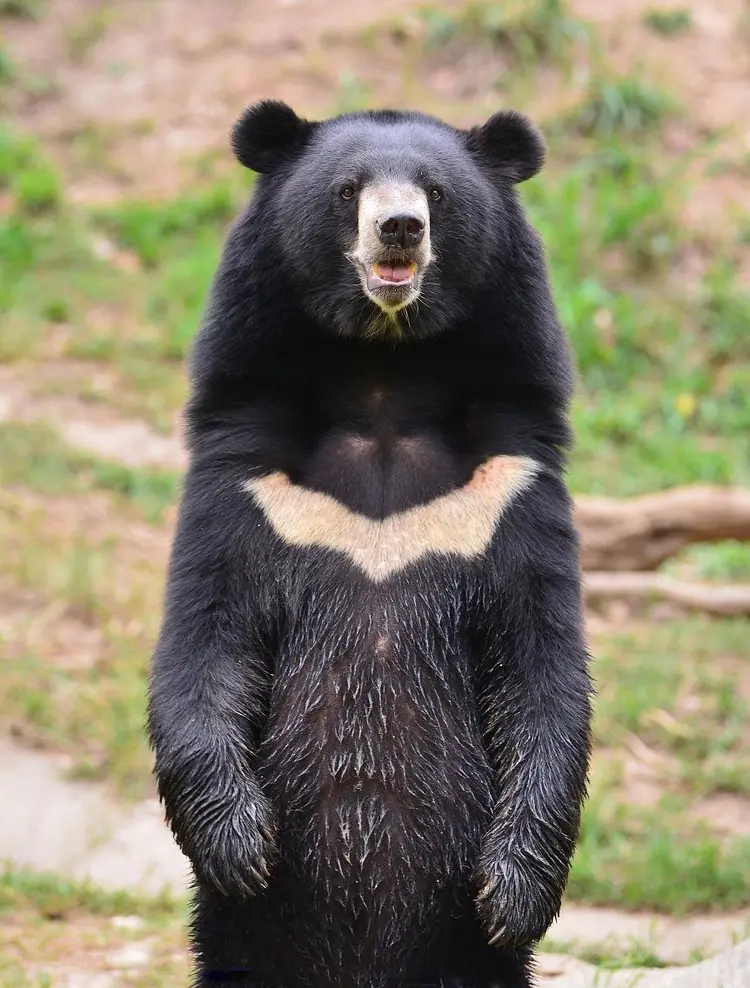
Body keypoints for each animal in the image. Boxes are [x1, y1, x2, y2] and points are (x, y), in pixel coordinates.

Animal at [147, 100, 592, 988]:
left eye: (436, 193)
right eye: (348, 189)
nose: (399, 229)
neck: (384, 374)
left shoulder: (511, 489)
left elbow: (545, 672)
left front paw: (513, 894)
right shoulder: (244, 483)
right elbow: (202, 644)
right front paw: (242, 844)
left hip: (458, 951)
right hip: (246, 940)